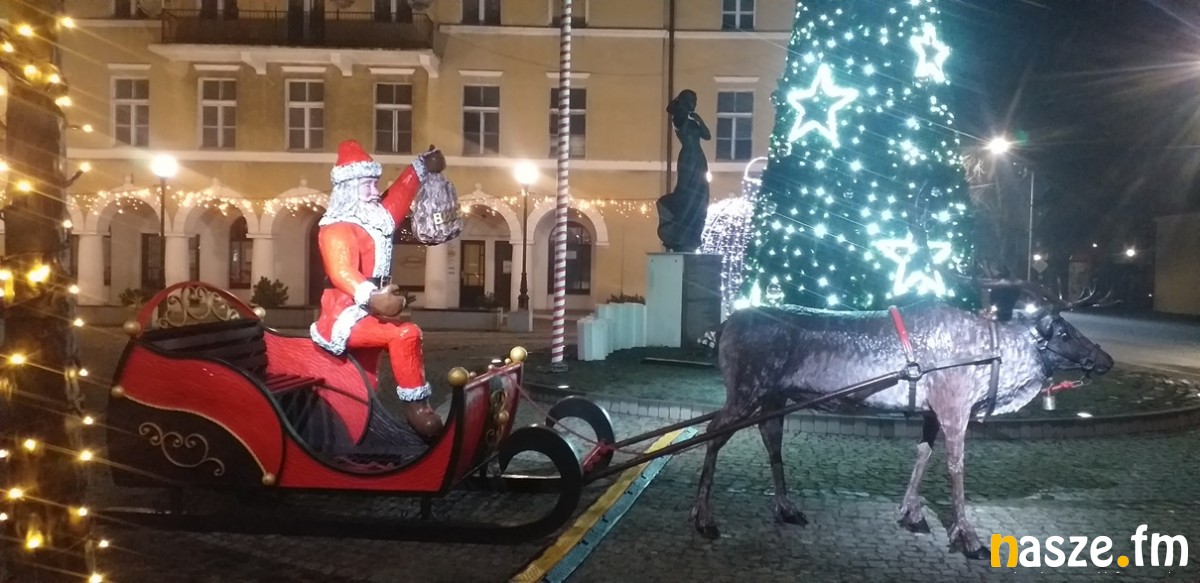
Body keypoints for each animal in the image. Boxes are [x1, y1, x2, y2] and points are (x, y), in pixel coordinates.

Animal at [690, 279, 1115, 558]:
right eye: (1063, 331)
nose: (1106, 359)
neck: (995, 355)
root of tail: (723, 326)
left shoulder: (931, 411)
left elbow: (922, 455)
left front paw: (911, 514)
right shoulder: (955, 407)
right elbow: (955, 468)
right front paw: (968, 538)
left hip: (774, 397)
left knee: (770, 438)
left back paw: (786, 508)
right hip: (746, 390)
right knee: (712, 432)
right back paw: (703, 518)